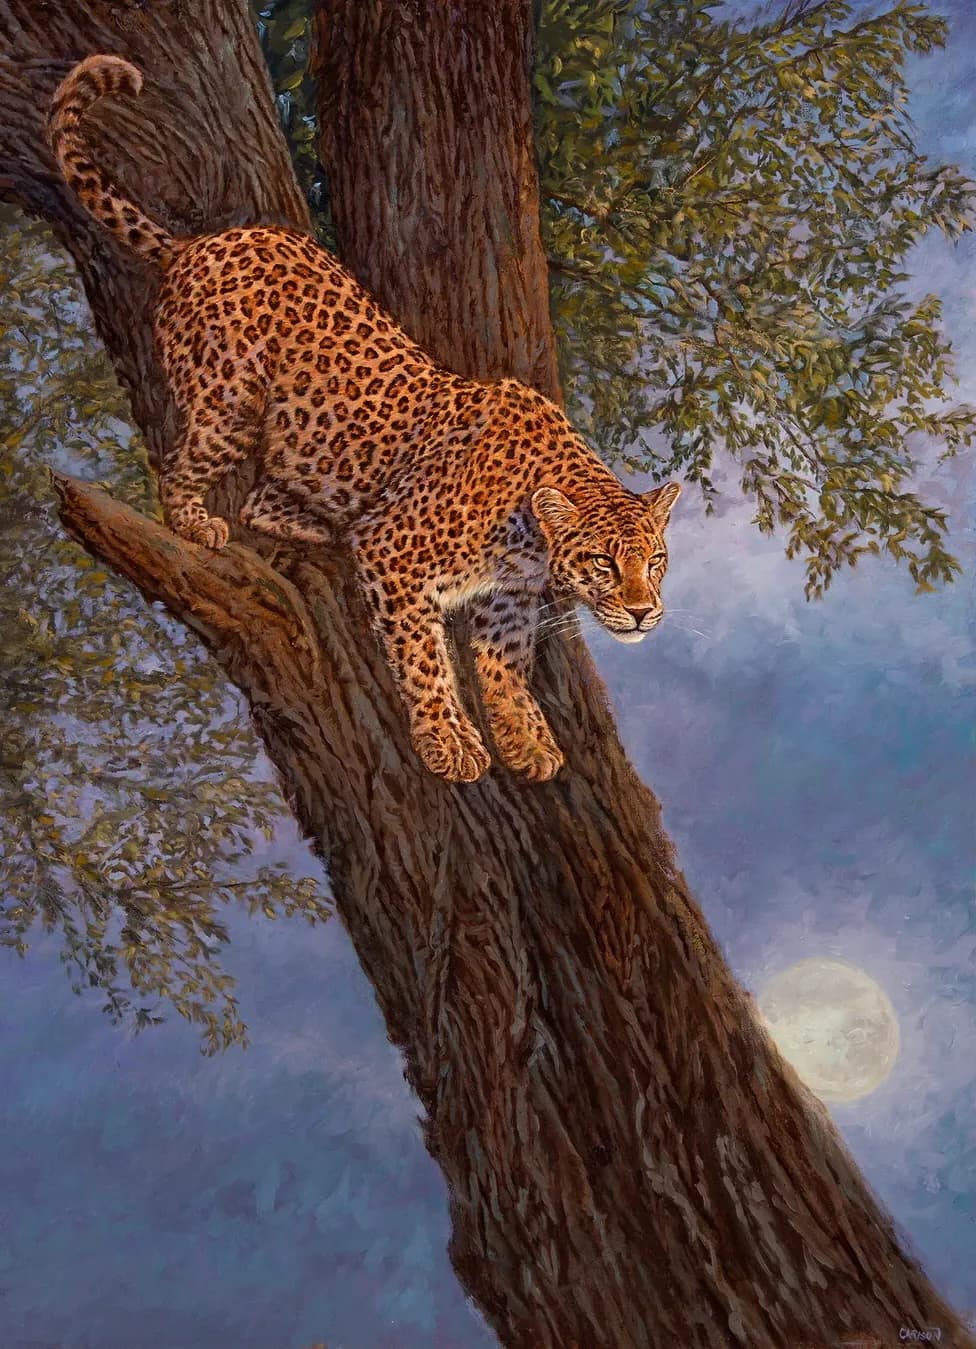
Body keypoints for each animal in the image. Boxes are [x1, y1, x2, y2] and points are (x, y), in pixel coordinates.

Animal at [47, 54, 681, 785]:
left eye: (655, 560)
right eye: (604, 562)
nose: (642, 611)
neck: (531, 540)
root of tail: (196, 243)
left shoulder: (506, 599)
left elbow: (504, 667)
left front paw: (524, 740)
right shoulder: (396, 558)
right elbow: (426, 661)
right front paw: (450, 743)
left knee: (264, 497)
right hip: (230, 404)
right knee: (187, 469)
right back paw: (196, 523)